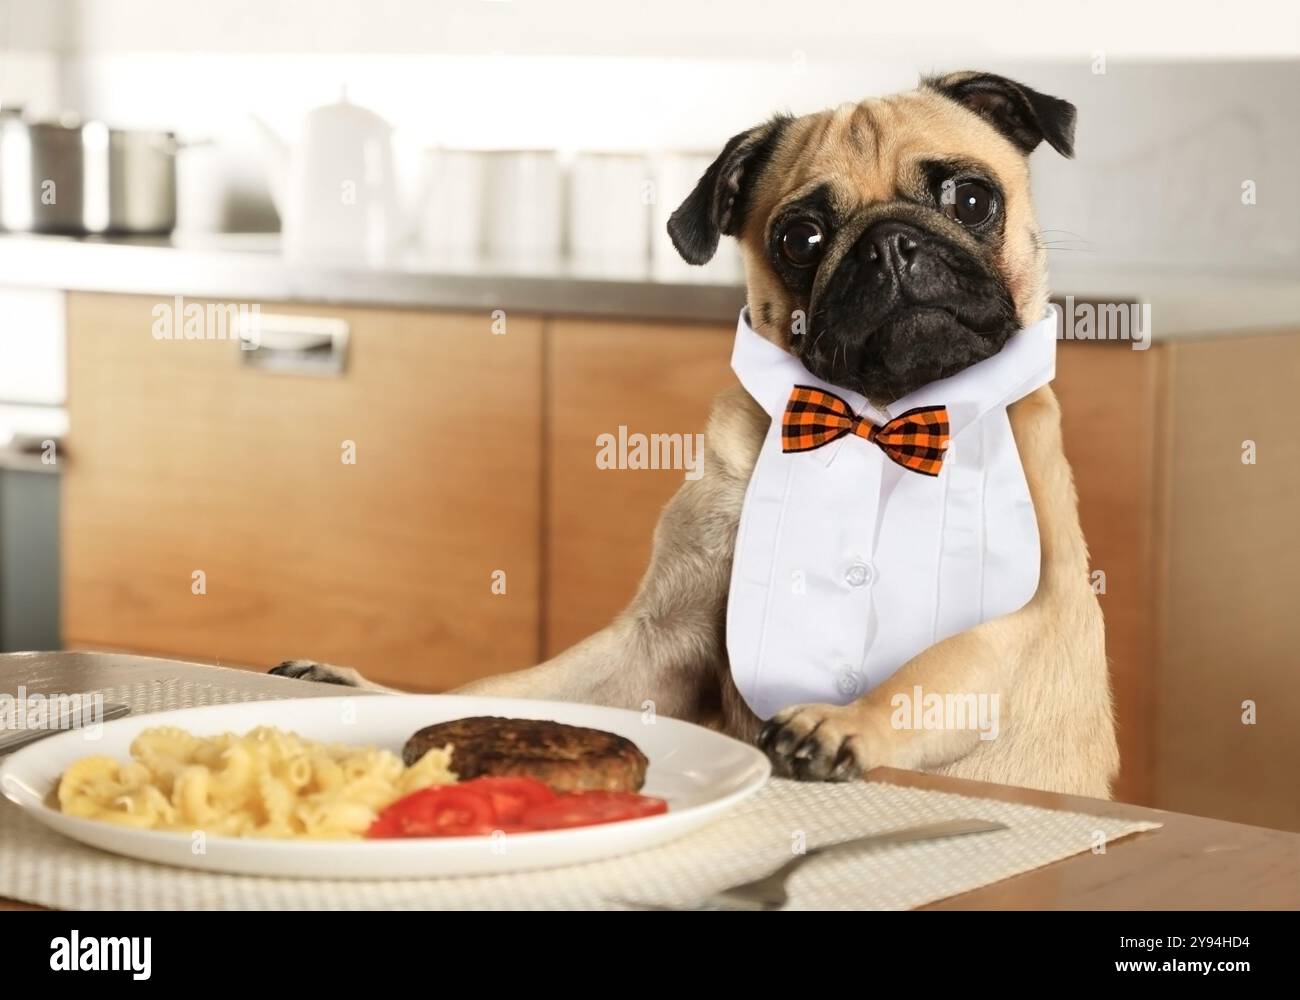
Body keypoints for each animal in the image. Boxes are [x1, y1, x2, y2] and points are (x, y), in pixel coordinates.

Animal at [271, 72, 1118, 795]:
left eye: (971, 198)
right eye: (801, 239)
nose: (890, 242)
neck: (873, 420)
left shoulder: (1014, 623)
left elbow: (930, 671)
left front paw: (843, 723)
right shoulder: (657, 643)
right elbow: (509, 688)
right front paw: (373, 691)